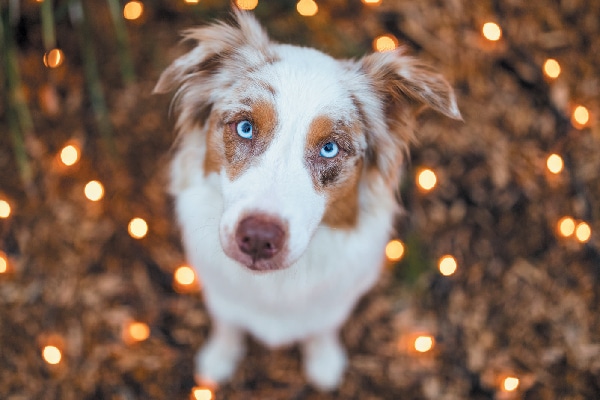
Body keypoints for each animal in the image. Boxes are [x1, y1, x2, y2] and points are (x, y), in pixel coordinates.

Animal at [154, 10, 460, 392]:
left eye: (329, 148)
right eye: (245, 128)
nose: (258, 238)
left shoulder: (334, 304)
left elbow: (321, 330)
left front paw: (324, 362)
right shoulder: (220, 295)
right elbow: (228, 326)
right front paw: (219, 358)